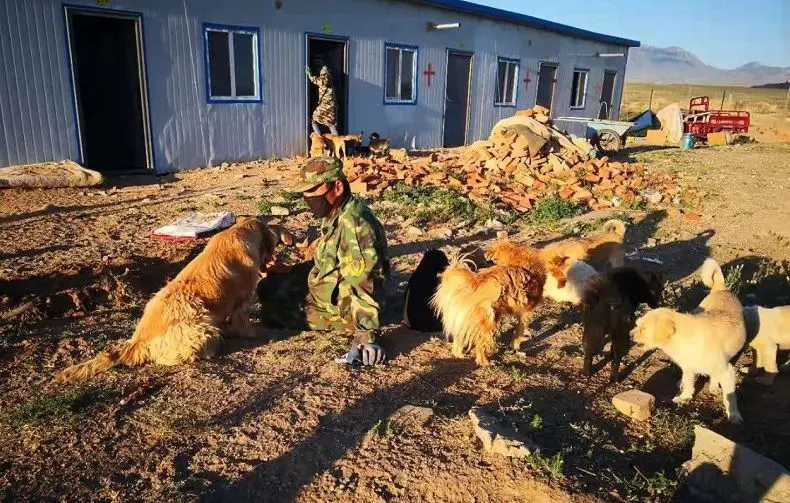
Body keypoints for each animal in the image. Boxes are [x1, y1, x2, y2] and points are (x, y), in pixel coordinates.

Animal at [53, 218, 294, 382]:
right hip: (202, 328)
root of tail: (137, 341)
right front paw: (252, 332)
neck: (238, 232)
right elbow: (242, 321)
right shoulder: (242, 301)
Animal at [632, 258, 748, 424]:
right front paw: (684, 397)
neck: (683, 341)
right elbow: (688, 383)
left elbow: (730, 397)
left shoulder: (727, 371)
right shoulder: (688, 367)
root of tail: (721, 289)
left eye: (644, 328)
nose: (630, 335)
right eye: (637, 324)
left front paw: (734, 415)